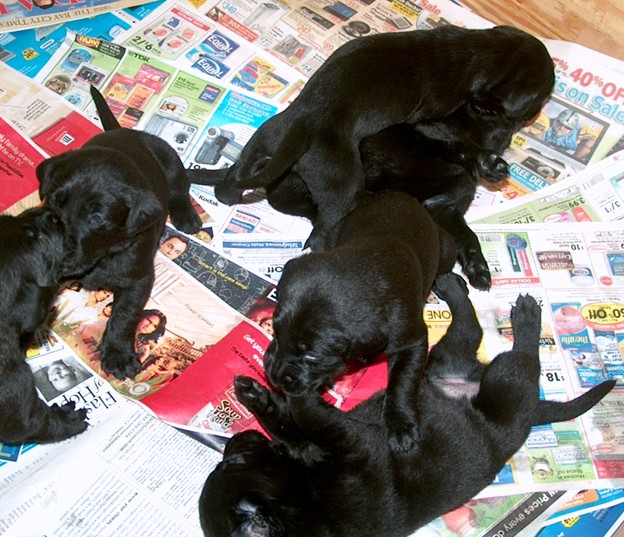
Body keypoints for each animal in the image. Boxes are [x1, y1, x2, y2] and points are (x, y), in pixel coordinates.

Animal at [36, 85, 202, 380]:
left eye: (97, 217)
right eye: (54, 200)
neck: (101, 258)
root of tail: (126, 131)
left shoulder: (138, 280)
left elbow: (124, 316)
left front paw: (118, 354)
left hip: (171, 162)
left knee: (180, 189)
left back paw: (187, 216)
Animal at [198, 272, 615, 537]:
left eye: (232, 462)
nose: (235, 442)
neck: (301, 502)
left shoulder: (316, 446)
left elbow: (292, 424)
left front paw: (259, 393)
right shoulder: (349, 443)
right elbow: (312, 417)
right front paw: (293, 387)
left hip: (436, 359)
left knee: (468, 327)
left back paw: (454, 285)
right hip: (503, 385)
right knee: (521, 360)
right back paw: (527, 319)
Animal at [200, 25, 554, 254]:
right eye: (536, 103)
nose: (534, 116)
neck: (479, 50)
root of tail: (304, 125)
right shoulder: (429, 118)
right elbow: (457, 139)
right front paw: (488, 161)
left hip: (264, 141)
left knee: (233, 178)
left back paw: (227, 194)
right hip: (344, 183)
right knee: (324, 229)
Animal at [263, 190, 457, 451]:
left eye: (312, 356)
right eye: (275, 332)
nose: (273, 377)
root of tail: (398, 193)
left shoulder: (412, 341)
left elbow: (402, 382)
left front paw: (401, 424)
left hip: (446, 250)